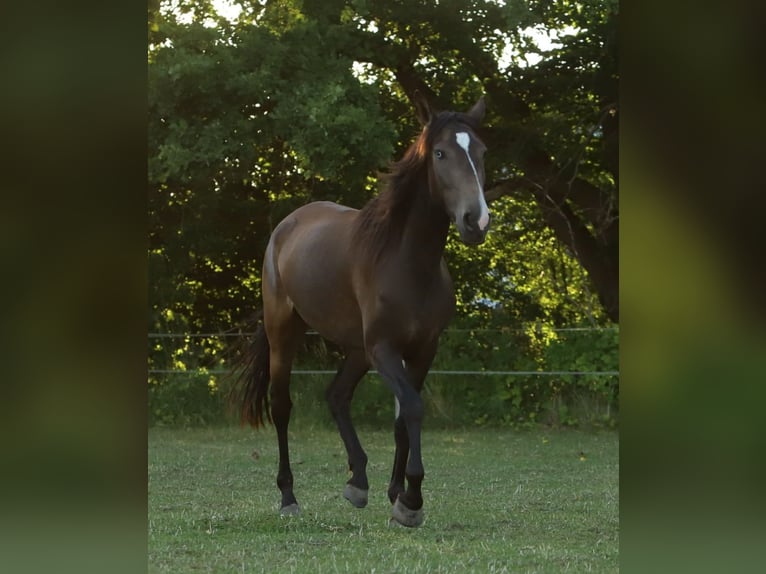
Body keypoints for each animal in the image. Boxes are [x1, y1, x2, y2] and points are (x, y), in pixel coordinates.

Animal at [230, 92, 490, 527]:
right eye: (440, 153)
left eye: (482, 152)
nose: (476, 220)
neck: (405, 261)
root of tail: (286, 226)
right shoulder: (383, 348)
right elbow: (413, 408)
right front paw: (411, 500)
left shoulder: (422, 350)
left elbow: (402, 418)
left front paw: (397, 494)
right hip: (286, 334)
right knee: (282, 407)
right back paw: (288, 497)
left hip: (356, 349)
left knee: (336, 395)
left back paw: (358, 481)